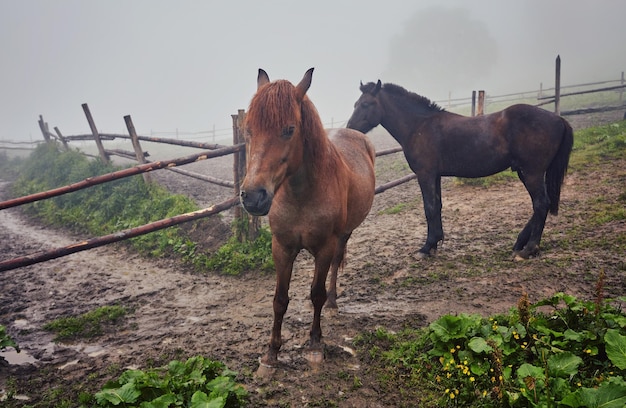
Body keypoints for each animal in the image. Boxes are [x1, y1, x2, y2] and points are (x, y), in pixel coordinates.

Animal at [240, 68, 376, 368]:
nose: (253, 196)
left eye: (289, 129)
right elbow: (280, 299)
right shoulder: (282, 248)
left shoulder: (324, 248)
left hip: (344, 235)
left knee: (335, 266)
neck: (300, 195)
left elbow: (317, 293)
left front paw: (315, 344)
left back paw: (333, 303)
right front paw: (271, 352)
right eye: (248, 129)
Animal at [346, 79, 572, 258]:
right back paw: (519, 243)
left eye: (366, 104)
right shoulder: (435, 176)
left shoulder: (425, 175)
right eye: (355, 104)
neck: (419, 126)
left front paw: (426, 248)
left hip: (532, 173)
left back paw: (529, 249)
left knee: (541, 204)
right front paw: (435, 243)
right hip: (526, 172)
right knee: (542, 205)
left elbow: (429, 208)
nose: (350, 129)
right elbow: (437, 206)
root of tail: (558, 119)